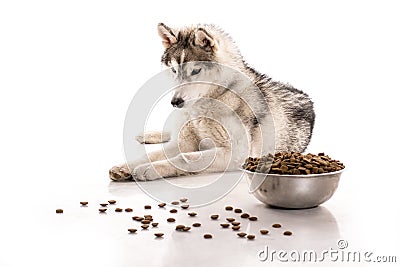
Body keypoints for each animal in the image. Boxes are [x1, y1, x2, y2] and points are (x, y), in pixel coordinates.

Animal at [109, 23, 316, 182]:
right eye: (174, 70)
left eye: (195, 70)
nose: (175, 102)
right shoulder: (185, 141)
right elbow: (152, 154)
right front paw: (126, 167)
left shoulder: (237, 153)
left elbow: (184, 158)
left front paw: (149, 169)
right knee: (171, 132)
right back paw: (148, 135)